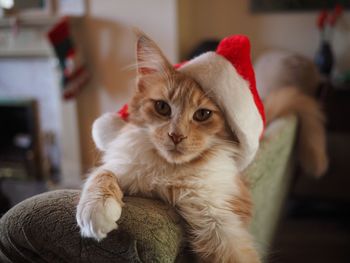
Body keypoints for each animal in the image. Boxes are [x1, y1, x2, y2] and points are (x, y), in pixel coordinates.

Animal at [77, 33, 262, 263]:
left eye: (203, 114)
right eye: (162, 107)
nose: (176, 136)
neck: (170, 172)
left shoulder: (219, 216)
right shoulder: (124, 168)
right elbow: (102, 174)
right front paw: (95, 209)